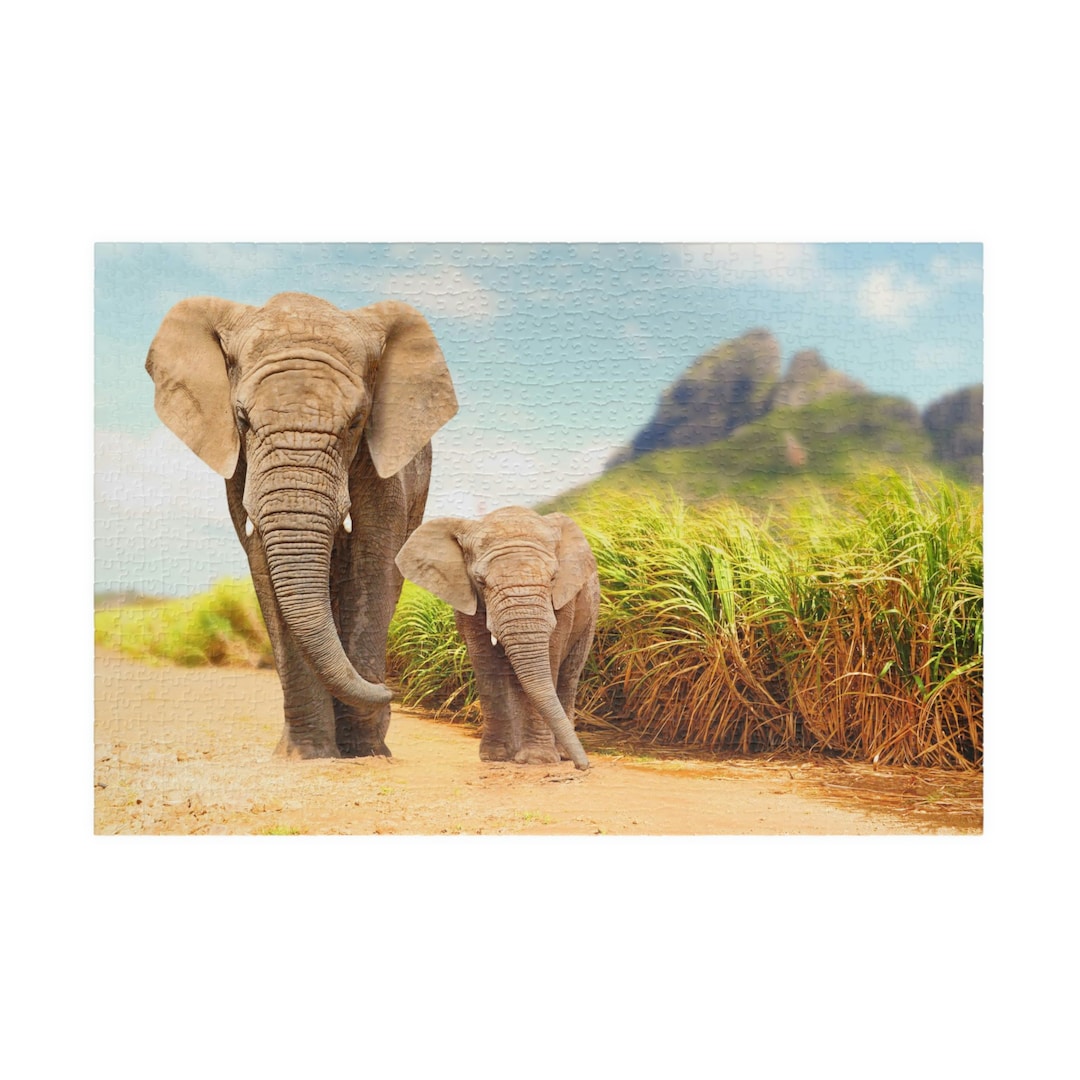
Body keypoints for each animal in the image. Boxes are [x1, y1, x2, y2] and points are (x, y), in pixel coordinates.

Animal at [145, 291, 458, 759]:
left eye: (356, 422)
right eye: (242, 419)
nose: (393, 691)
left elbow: (373, 564)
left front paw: (365, 750)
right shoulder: (240, 468)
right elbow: (264, 568)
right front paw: (306, 755)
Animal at [395, 506, 598, 770]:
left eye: (553, 578)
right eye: (481, 581)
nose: (584, 766)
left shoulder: (564, 602)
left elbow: (551, 658)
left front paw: (537, 760)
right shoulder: (468, 600)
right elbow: (486, 665)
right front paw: (496, 757)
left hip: (591, 613)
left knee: (568, 675)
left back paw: (560, 754)